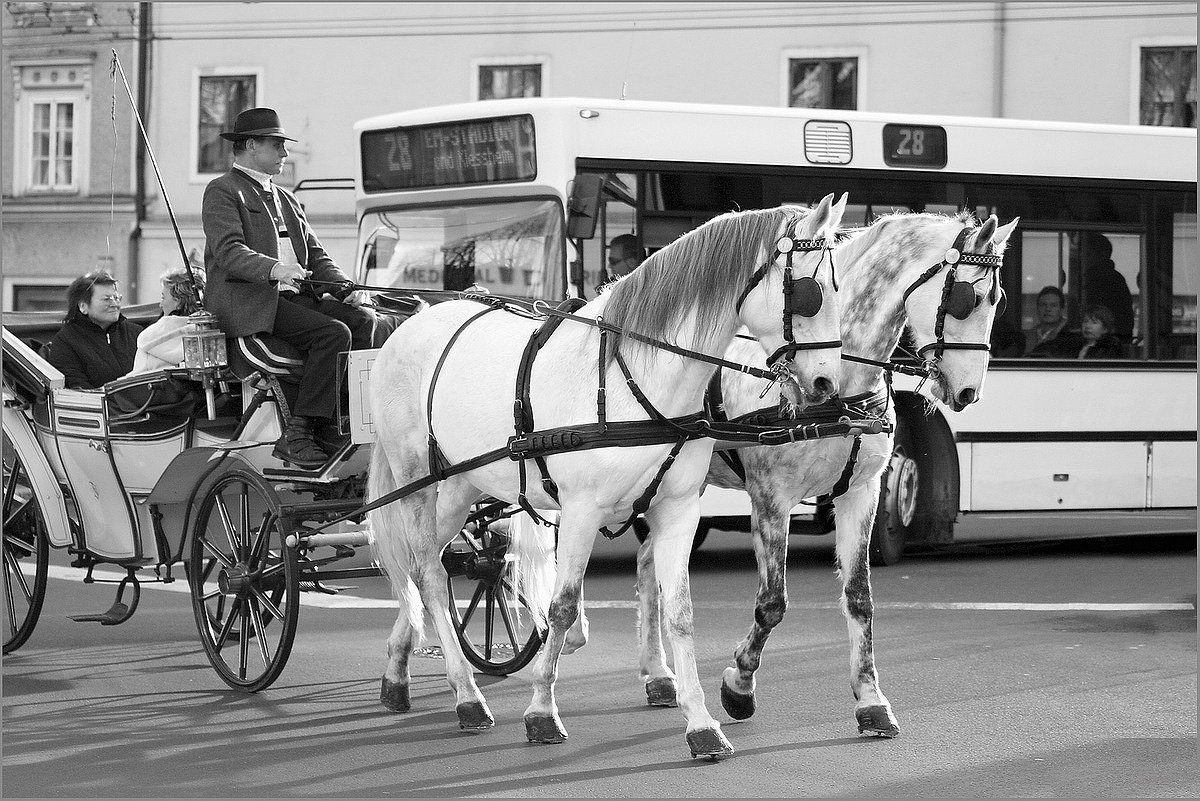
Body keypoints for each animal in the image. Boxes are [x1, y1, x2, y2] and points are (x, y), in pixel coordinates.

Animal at [369, 191, 849, 757]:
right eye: (810, 293)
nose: (828, 385)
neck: (635, 374)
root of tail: (413, 320)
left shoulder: (677, 510)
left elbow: (679, 613)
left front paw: (700, 723)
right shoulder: (579, 512)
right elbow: (561, 607)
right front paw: (542, 712)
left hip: (460, 488)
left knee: (423, 566)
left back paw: (398, 672)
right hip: (416, 483)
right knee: (428, 572)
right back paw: (466, 695)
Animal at [609, 209, 1012, 733]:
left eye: (998, 301)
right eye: (969, 299)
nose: (968, 392)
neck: (840, 388)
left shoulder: (861, 493)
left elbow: (859, 598)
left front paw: (870, 699)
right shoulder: (771, 501)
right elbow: (772, 603)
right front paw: (739, 684)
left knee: (647, 563)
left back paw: (657, 674)